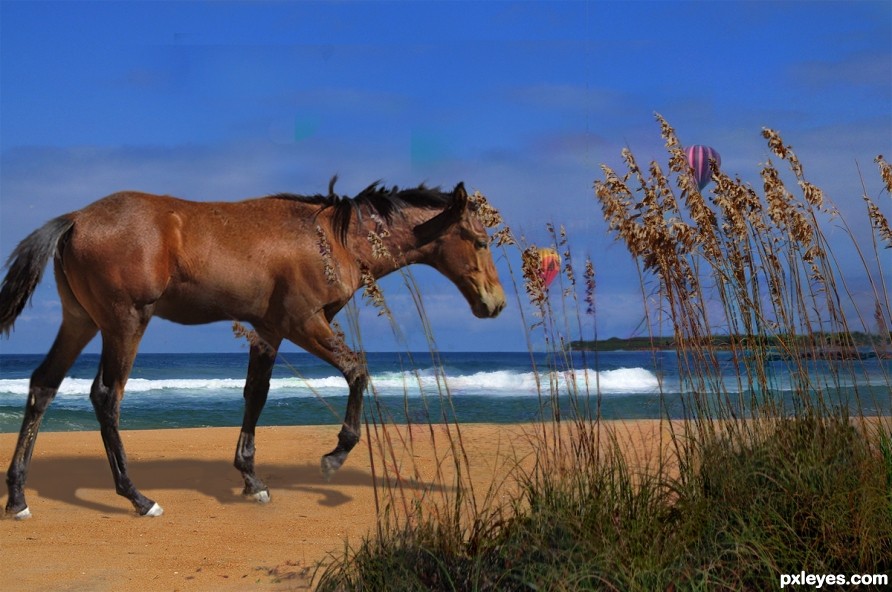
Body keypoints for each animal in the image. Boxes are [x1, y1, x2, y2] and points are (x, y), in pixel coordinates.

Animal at [0, 179, 506, 520]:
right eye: (480, 241)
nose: (495, 303)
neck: (331, 237)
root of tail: (77, 218)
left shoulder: (269, 330)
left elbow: (255, 396)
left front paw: (251, 478)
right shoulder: (304, 323)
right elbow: (356, 370)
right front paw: (334, 457)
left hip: (81, 321)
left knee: (43, 386)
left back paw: (18, 497)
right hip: (125, 323)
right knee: (106, 397)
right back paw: (138, 497)